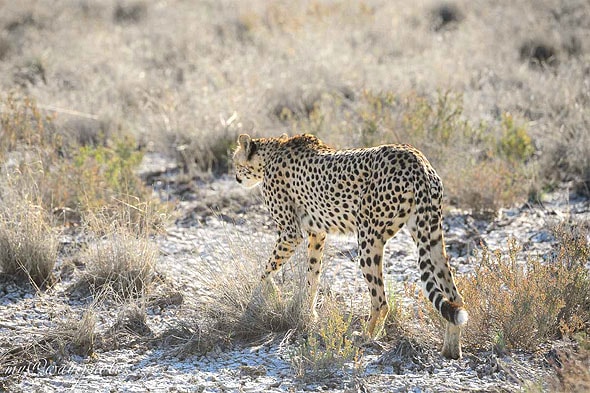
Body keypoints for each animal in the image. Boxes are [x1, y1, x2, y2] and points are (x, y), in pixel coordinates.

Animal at [234, 132, 470, 358]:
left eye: (235, 162)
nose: (236, 178)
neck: (271, 153)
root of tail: (415, 157)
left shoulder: (290, 233)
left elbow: (267, 270)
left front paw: (258, 298)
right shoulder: (317, 233)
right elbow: (312, 277)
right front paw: (308, 314)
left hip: (368, 237)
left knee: (381, 301)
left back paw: (365, 337)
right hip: (430, 234)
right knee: (455, 297)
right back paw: (451, 350)